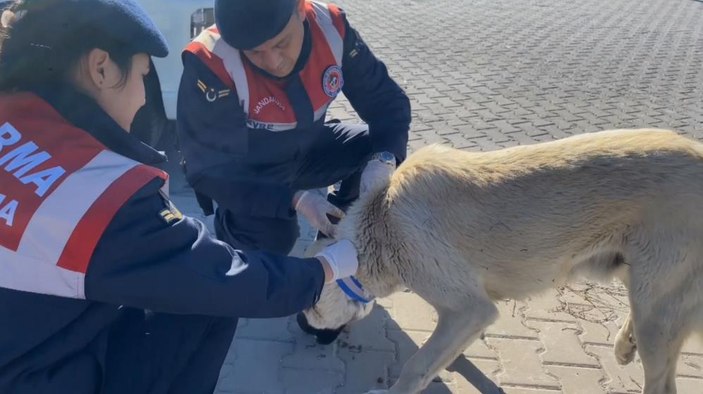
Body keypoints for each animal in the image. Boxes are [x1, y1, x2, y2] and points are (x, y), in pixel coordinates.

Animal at [304, 129, 703, 394]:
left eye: (310, 304)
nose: (304, 325)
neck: (380, 220)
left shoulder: (469, 309)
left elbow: (416, 365)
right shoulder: (469, 315)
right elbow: (439, 356)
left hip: (657, 313)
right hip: (642, 285)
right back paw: (623, 345)